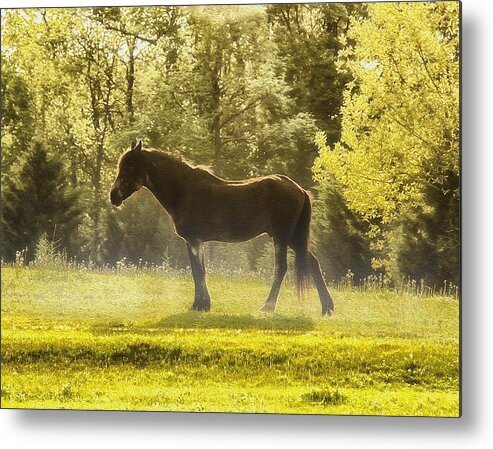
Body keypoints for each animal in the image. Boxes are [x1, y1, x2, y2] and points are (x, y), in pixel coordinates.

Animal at [110, 141, 334, 316]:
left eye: (129, 167)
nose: (113, 196)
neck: (184, 190)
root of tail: (299, 189)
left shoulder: (194, 239)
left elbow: (198, 272)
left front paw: (200, 305)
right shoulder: (195, 241)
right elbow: (199, 270)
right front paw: (203, 304)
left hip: (281, 236)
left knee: (281, 268)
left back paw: (268, 307)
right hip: (293, 238)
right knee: (313, 263)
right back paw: (327, 308)